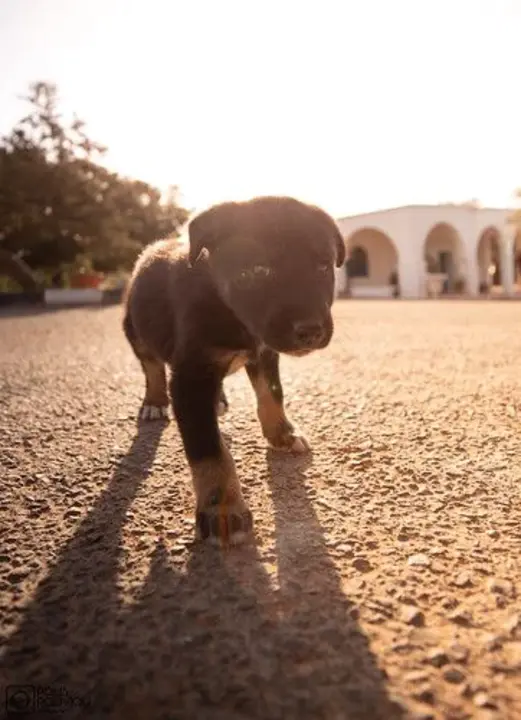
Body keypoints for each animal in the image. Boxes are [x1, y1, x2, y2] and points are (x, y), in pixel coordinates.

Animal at [120, 197, 344, 544]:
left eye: (323, 267)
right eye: (258, 270)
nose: (311, 330)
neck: (228, 307)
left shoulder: (264, 352)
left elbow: (273, 394)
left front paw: (283, 433)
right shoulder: (191, 376)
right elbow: (209, 449)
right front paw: (222, 509)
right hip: (135, 329)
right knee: (151, 367)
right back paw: (154, 402)